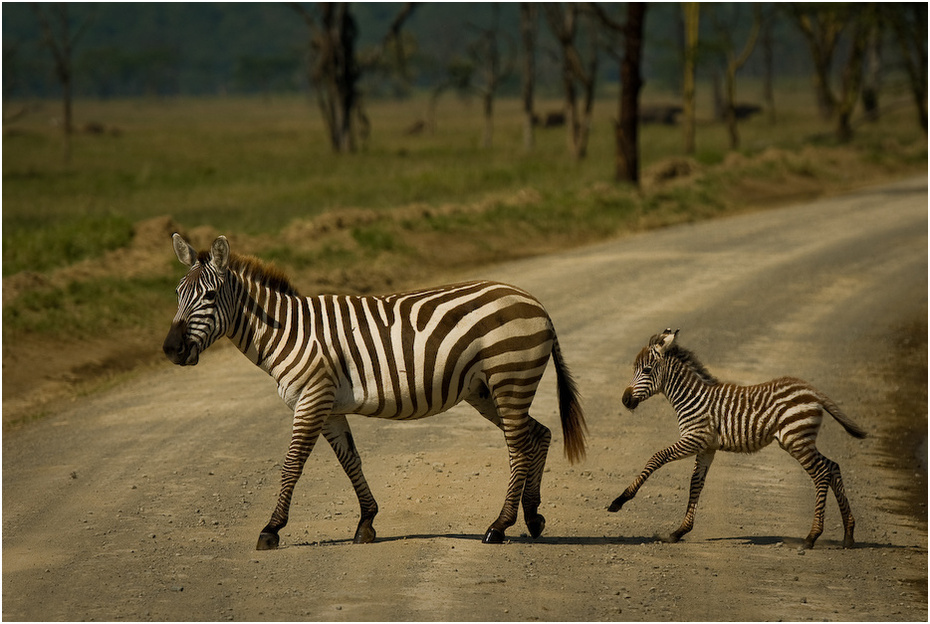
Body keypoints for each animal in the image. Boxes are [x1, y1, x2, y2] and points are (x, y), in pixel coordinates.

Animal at [160, 235, 580, 552]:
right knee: (538, 434)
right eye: (178, 294)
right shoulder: (329, 406)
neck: (287, 331)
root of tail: (535, 302)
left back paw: (499, 526)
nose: (171, 349)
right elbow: (351, 461)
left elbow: (292, 465)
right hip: (486, 389)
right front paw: (367, 521)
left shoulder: (311, 399)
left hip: (509, 377)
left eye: (210, 297)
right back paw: (532, 516)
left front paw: (272, 528)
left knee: (519, 448)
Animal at [608, 330, 864, 548]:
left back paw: (811, 537)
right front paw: (679, 532)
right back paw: (848, 534)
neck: (691, 398)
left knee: (821, 473)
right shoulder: (707, 447)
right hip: (800, 440)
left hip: (796, 439)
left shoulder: (694, 438)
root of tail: (813, 391)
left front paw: (621, 499)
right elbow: (695, 484)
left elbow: (656, 458)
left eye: (646, 370)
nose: (625, 400)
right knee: (832, 466)